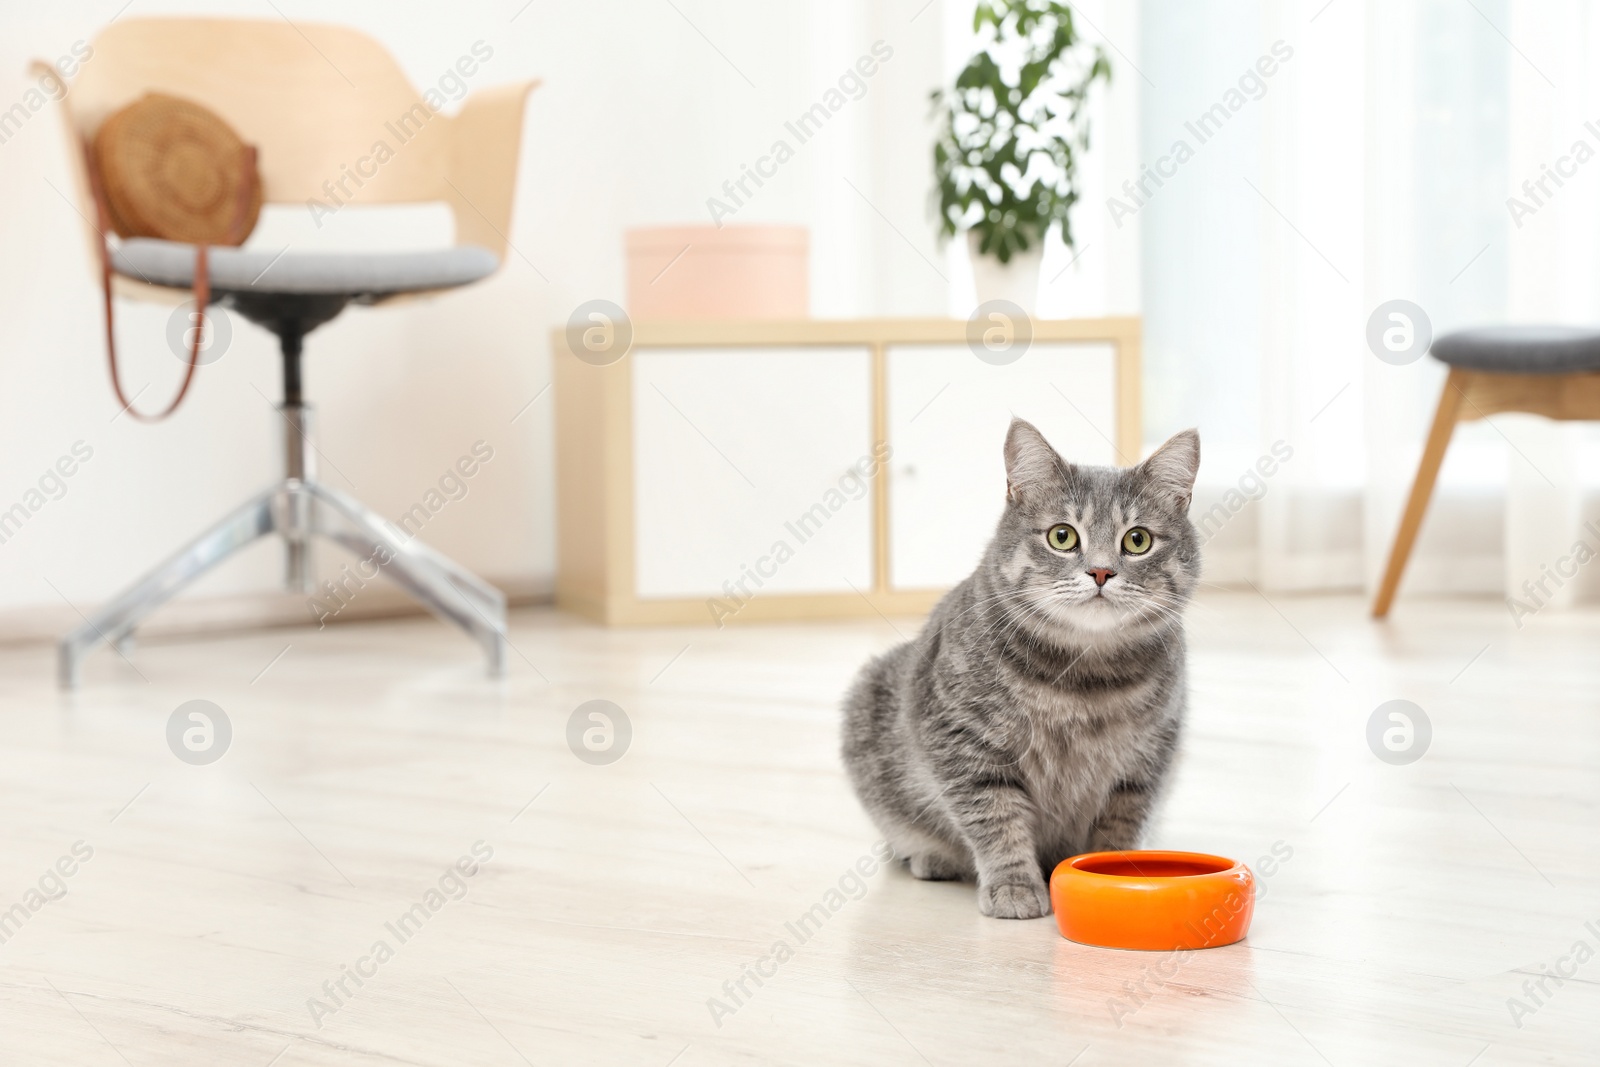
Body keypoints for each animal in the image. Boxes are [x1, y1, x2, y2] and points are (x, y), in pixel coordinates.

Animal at [838, 415, 1203, 921]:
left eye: (1138, 540)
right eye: (1062, 536)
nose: (1102, 572)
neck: (1084, 680)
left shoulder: (1146, 760)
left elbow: (1120, 826)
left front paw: (1115, 872)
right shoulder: (964, 744)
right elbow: (996, 819)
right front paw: (1013, 886)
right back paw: (932, 857)